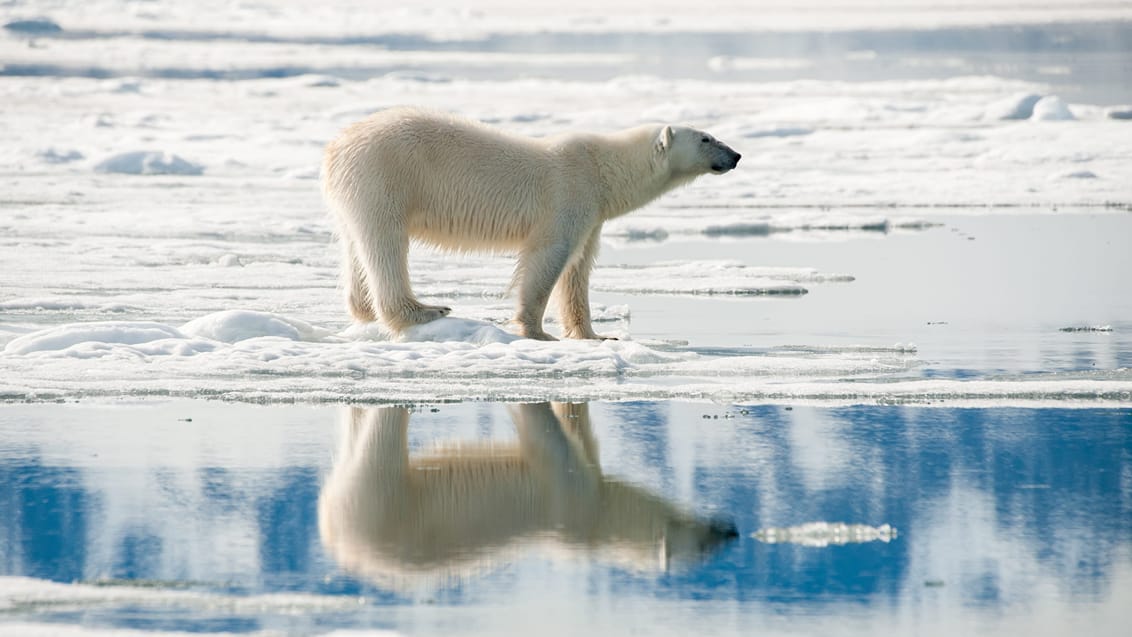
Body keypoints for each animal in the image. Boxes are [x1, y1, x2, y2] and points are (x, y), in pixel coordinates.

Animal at [314, 402, 738, 588]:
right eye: (703, 548)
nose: (730, 530)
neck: (598, 518)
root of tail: (334, 529)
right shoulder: (568, 495)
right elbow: (550, 445)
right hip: (384, 504)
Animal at [319, 106, 742, 341]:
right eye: (706, 138)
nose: (736, 155)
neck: (603, 169)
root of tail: (336, 146)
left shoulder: (592, 215)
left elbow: (579, 270)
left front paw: (597, 335)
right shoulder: (569, 194)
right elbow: (548, 260)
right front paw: (537, 332)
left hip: (351, 195)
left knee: (356, 247)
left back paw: (366, 311)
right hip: (385, 176)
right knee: (385, 243)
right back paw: (427, 310)